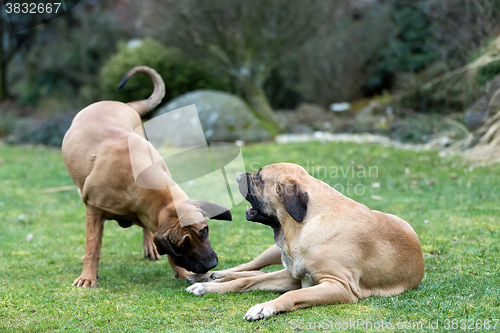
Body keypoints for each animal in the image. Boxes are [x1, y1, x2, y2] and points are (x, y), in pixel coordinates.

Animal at [62, 66, 232, 286]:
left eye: (204, 231)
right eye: (183, 245)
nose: (212, 264)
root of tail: (124, 104)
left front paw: (181, 272)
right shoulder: (94, 211)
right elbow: (93, 247)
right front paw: (88, 277)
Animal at [186, 163, 424, 320]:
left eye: (260, 178)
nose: (236, 177)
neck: (309, 221)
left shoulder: (338, 286)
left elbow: (292, 293)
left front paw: (265, 307)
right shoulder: (295, 275)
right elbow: (245, 282)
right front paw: (207, 287)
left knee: (255, 272)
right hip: (273, 252)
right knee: (249, 268)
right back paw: (209, 276)